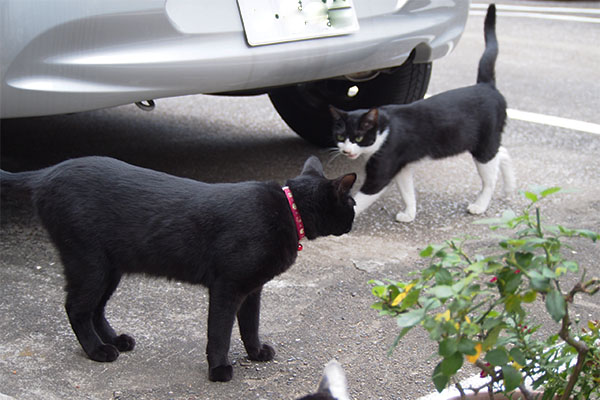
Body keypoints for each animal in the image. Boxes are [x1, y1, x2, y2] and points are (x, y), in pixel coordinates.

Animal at [0, 155, 356, 382]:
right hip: (89, 263)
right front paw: (219, 370)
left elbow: (250, 325)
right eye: (351, 203)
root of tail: (46, 172)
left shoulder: (252, 289)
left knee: (95, 309)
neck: (288, 210)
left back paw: (116, 341)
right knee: (76, 308)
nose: (355, 217)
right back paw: (98, 350)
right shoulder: (227, 288)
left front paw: (255, 353)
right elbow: (220, 332)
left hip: (110, 267)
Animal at [330, 3, 512, 222]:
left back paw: (480, 205)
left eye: (358, 137)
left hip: (483, 145)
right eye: (340, 136)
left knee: (490, 178)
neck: (383, 130)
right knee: (502, 154)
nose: (346, 151)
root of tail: (486, 85)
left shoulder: (382, 170)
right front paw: (409, 214)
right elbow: (407, 191)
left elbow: (362, 199)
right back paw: (510, 188)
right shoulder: (401, 166)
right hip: (488, 143)